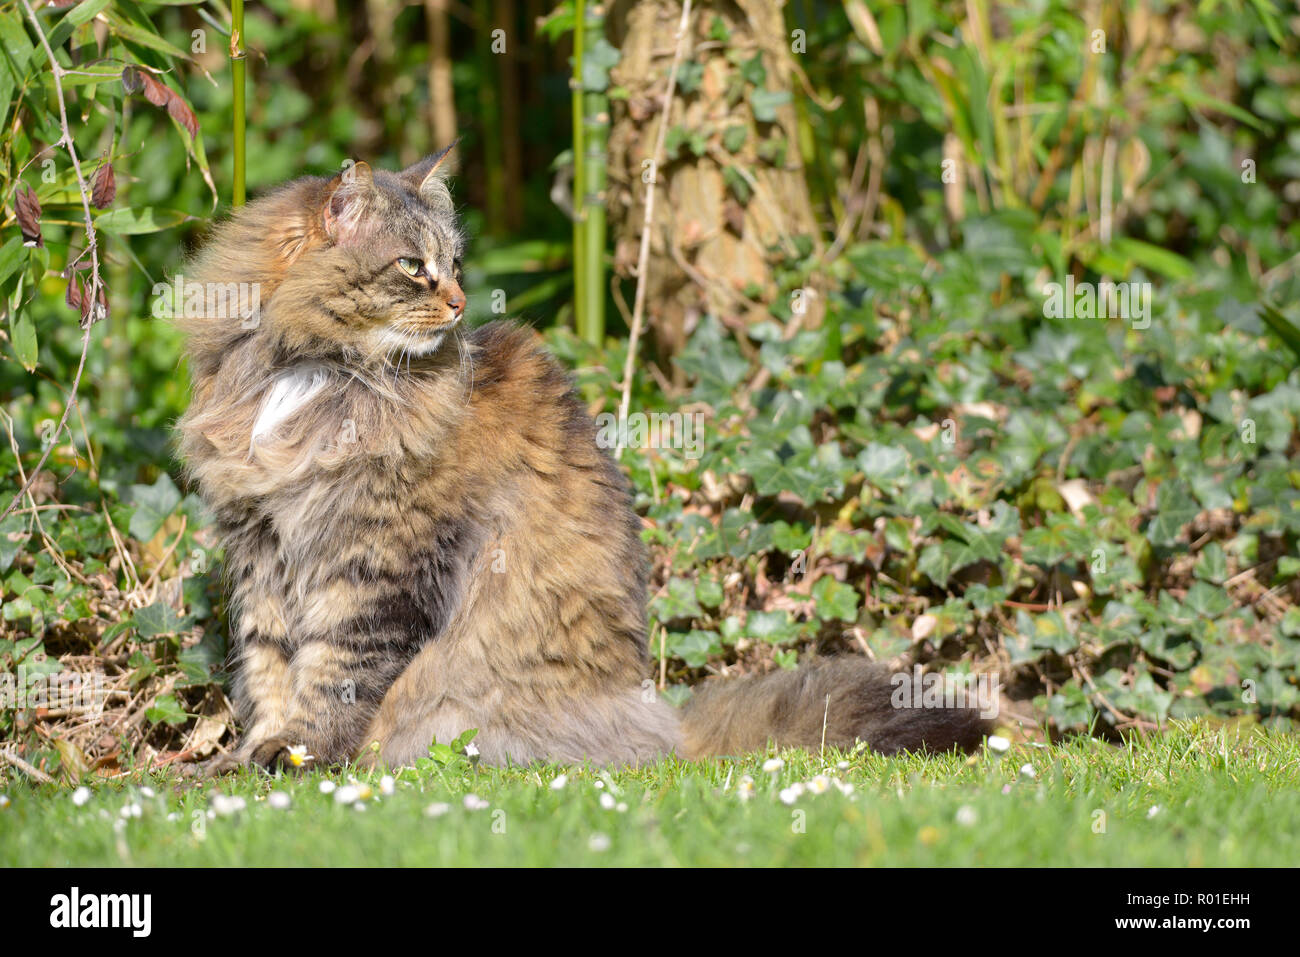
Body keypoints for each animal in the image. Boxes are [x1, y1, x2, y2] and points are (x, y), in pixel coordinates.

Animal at [170, 145, 982, 769]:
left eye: (453, 262)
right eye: (411, 266)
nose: (459, 303)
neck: (310, 371)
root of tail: (664, 727)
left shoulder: (372, 561)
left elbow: (331, 672)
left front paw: (296, 755)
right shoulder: (262, 545)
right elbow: (269, 664)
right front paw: (251, 753)